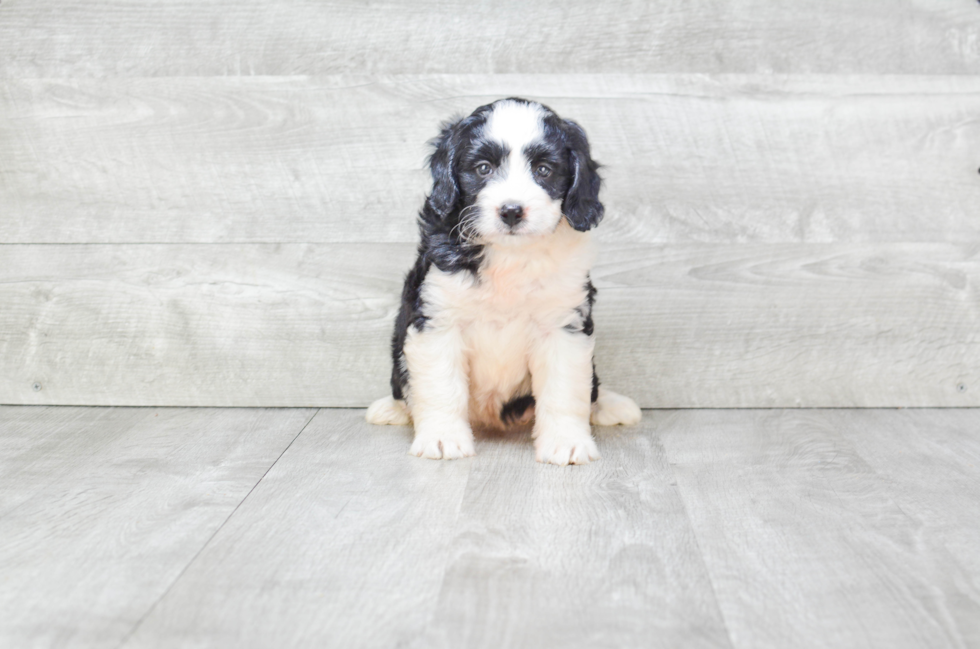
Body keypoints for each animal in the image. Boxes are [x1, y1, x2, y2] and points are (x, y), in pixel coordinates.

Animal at [364, 96, 640, 464]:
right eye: (483, 168)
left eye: (544, 170)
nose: (511, 211)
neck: (510, 256)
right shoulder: (438, 320)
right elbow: (441, 385)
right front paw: (443, 438)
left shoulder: (562, 323)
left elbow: (565, 389)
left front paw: (566, 442)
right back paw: (391, 409)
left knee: (592, 387)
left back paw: (610, 405)